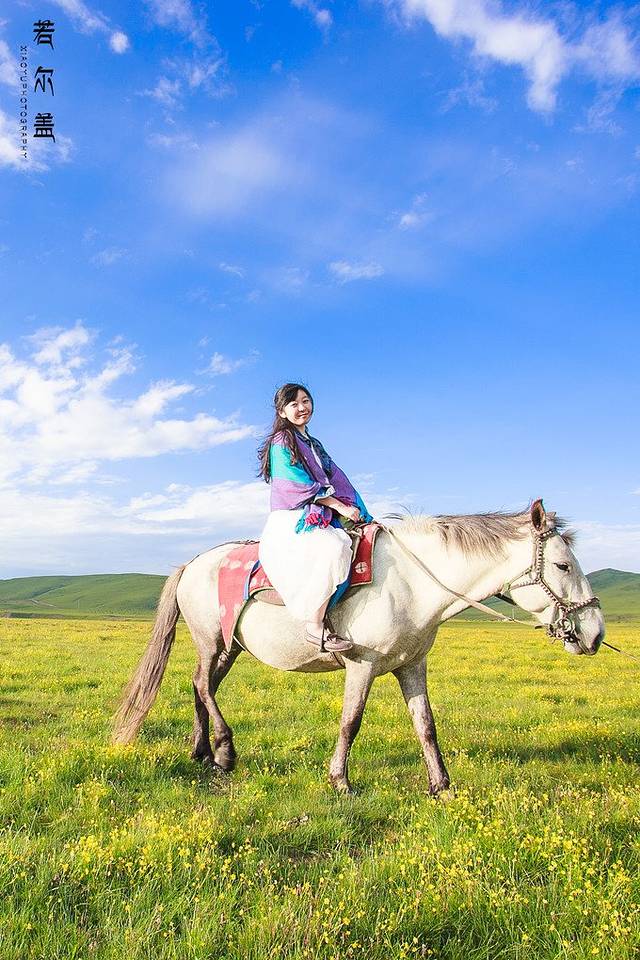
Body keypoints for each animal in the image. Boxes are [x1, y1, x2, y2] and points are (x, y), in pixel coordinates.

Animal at [113, 500, 605, 795]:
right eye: (563, 565)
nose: (595, 633)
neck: (413, 581)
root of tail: (191, 563)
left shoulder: (412, 666)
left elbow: (426, 725)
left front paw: (441, 785)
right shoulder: (361, 665)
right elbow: (351, 722)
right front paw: (340, 781)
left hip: (229, 646)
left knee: (202, 686)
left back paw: (204, 753)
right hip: (211, 640)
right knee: (202, 682)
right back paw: (226, 751)